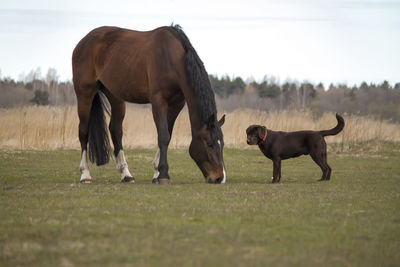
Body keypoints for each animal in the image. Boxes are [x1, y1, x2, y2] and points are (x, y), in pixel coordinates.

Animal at [72, 24, 227, 184]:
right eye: (209, 144)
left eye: (222, 144)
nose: (219, 178)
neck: (172, 59)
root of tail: (83, 42)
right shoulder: (158, 101)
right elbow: (163, 135)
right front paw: (163, 175)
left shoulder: (176, 105)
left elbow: (167, 135)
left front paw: (157, 174)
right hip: (85, 93)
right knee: (83, 131)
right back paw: (85, 175)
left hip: (115, 96)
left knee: (116, 131)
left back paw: (126, 175)